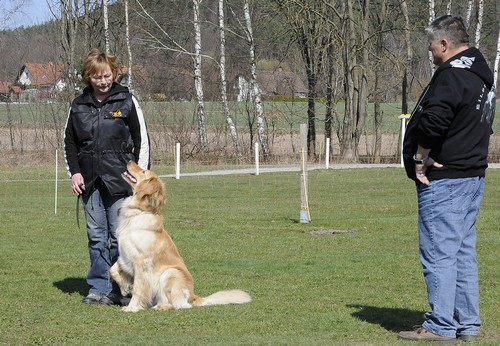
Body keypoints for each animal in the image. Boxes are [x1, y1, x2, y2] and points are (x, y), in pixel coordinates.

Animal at [109, 161, 250, 312]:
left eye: (143, 171)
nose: (129, 161)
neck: (139, 211)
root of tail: (194, 296)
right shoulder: (125, 255)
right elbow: (113, 269)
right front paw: (124, 287)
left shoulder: (141, 262)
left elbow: (138, 288)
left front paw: (132, 307)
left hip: (170, 273)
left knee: (177, 304)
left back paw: (162, 306)